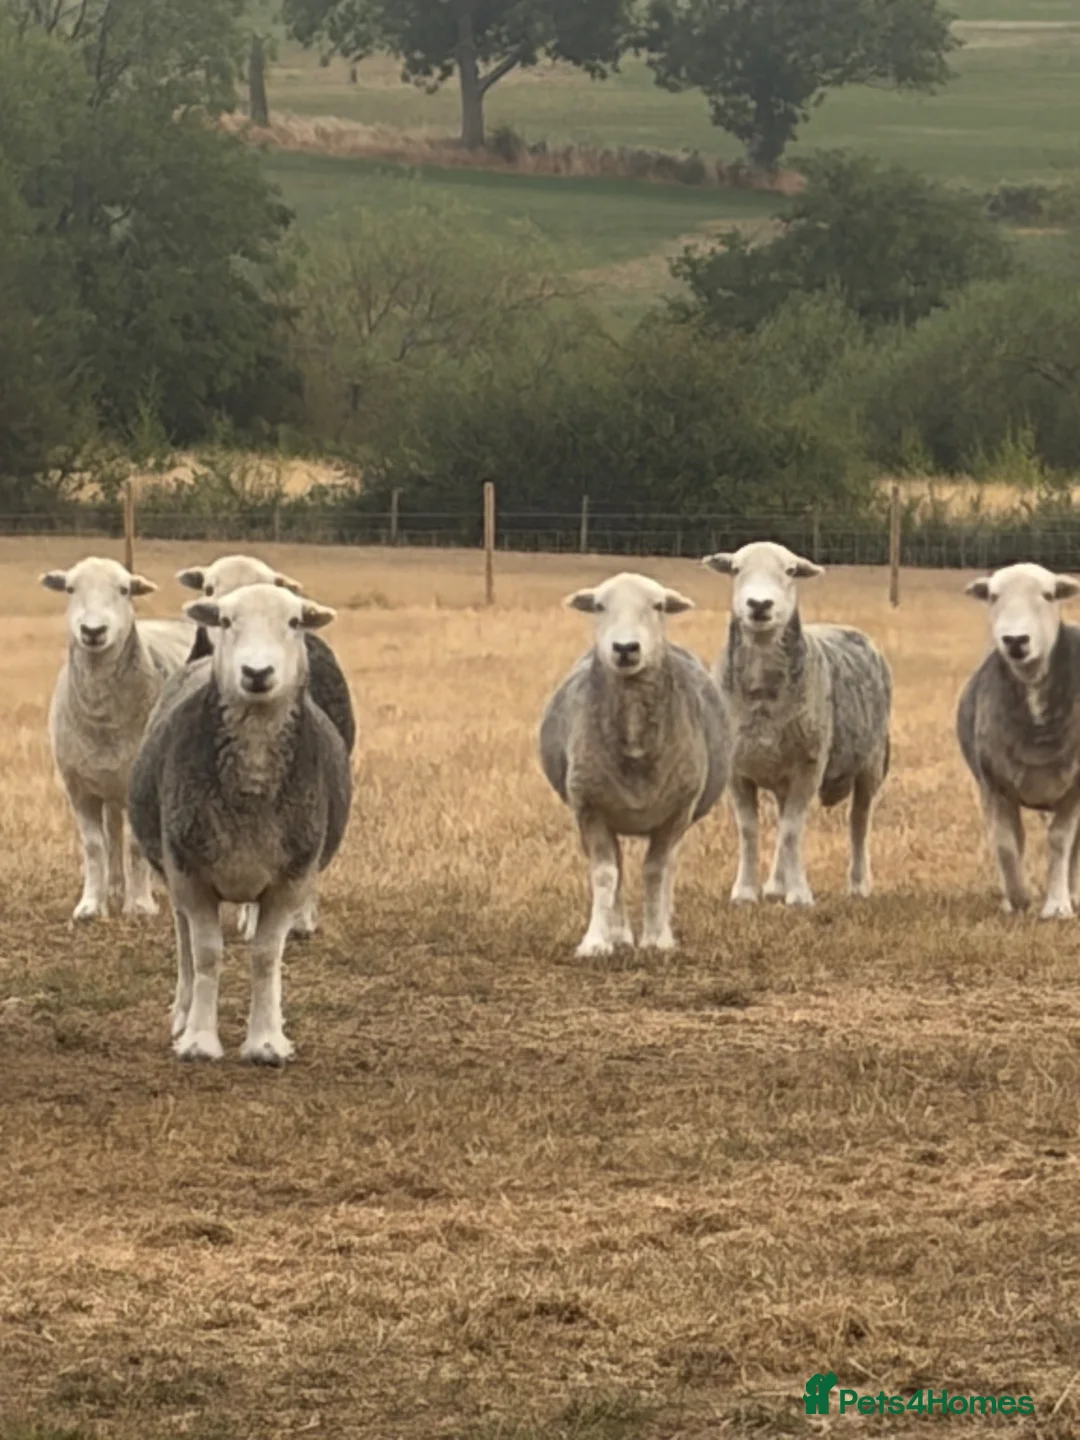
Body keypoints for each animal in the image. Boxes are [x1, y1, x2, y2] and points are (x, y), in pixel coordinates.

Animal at [42, 556, 193, 921]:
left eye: (124, 590)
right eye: (70, 588)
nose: (93, 631)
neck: (102, 717)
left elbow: (137, 846)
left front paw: (139, 905)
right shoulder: (78, 787)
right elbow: (95, 846)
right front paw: (91, 905)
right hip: (110, 785)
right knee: (112, 833)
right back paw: (114, 886)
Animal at [538, 571, 730, 956]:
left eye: (658, 606)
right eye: (599, 606)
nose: (625, 648)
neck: (634, 740)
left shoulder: (677, 812)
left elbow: (656, 871)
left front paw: (657, 939)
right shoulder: (589, 807)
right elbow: (605, 874)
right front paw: (596, 941)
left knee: (667, 869)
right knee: (618, 870)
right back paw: (622, 934)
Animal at [703, 542, 892, 907]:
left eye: (790, 571)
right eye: (735, 569)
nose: (760, 604)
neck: (762, 694)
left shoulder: (809, 765)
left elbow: (793, 830)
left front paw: (800, 895)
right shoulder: (737, 770)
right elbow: (750, 829)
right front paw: (745, 891)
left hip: (871, 762)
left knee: (859, 821)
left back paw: (859, 884)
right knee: (782, 819)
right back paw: (776, 884)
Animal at [957, 562, 1080, 919]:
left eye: (1049, 595)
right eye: (993, 596)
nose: (1015, 640)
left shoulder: (1074, 789)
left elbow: (1060, 840)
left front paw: (1057, 905)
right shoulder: (994, 784)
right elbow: (1006, 844)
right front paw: (1017, 899)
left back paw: (1072, 894)